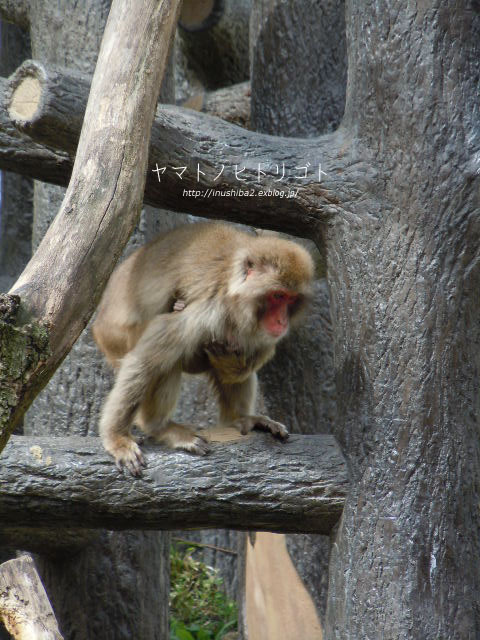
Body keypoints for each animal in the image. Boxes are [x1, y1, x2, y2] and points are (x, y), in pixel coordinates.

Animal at [93, 221, 316, 476]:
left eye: (291, 299)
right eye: (277, 295)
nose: (282, 322)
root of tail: (99, 322)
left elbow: (253, 356)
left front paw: (228, 362)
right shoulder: (209, 310)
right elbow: (146, 357)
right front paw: (117, 438)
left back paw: (240, 418)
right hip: (118, 340)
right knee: (166, 359)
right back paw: (159, 426)